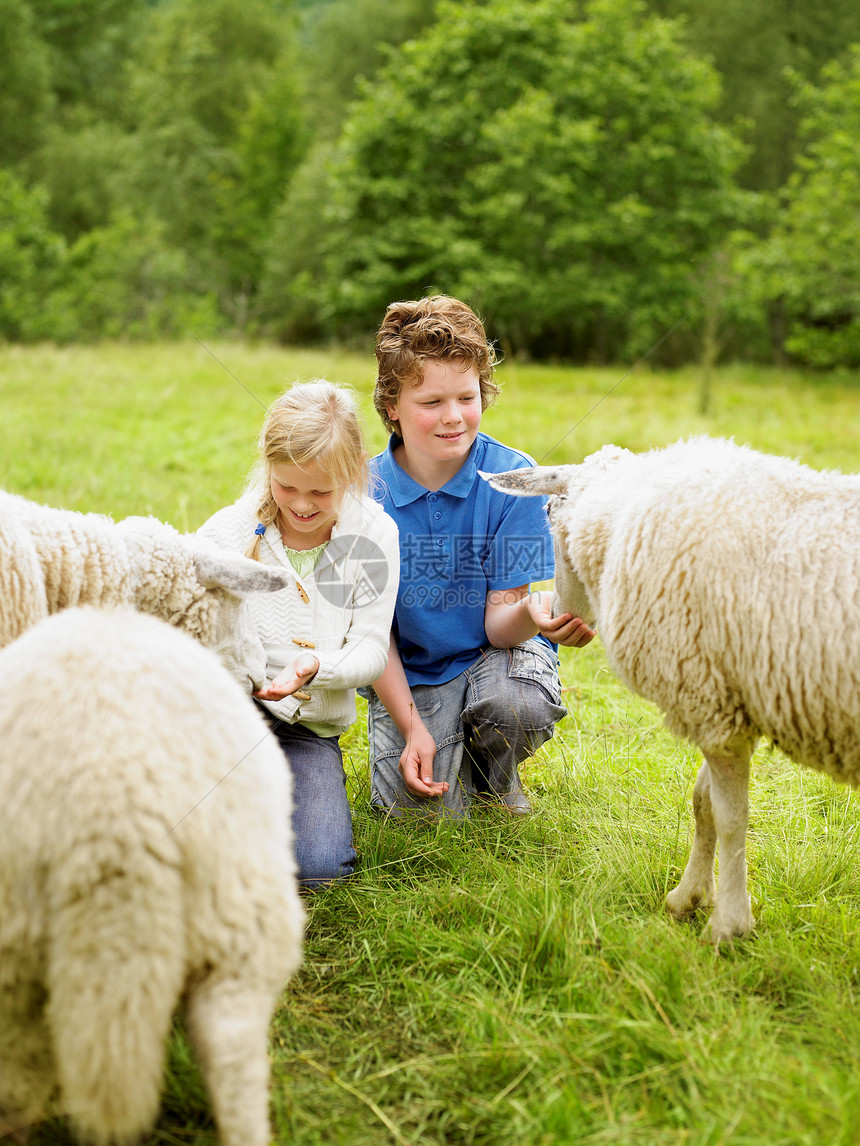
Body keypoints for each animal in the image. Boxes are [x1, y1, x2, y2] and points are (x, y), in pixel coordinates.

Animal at [486, 433, 860, 944]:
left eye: (546, 510)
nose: (558, 614)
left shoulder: (710, 703)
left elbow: (730, 817)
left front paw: (728, 924)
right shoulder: (723, 704)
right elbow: (703, 804)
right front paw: (690, 898)